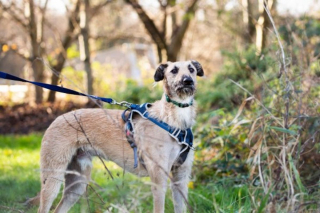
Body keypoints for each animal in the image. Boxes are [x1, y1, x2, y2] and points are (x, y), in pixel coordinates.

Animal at [35, 60, 204, 213]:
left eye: (191, 69)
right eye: (174, 70)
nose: (187, 81)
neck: (173, 120)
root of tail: (58, 118)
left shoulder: (181, 178)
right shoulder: (158, 179)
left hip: (77, 184)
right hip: (52, 179)